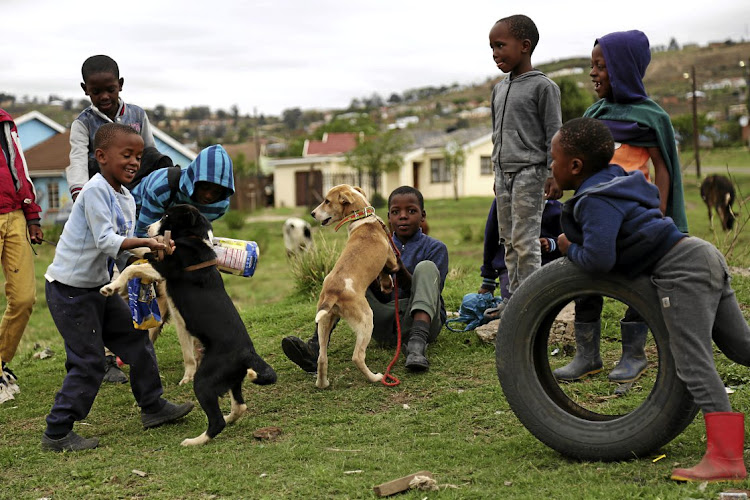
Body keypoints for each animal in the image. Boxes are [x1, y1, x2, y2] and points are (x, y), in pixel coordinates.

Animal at [100, 203, 276, 446]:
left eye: (166, 216)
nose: (147, 228)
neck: (195, 238)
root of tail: (248, 353)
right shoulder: (157, 257)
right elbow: (141, 250)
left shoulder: (164, 269)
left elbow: (131, 269)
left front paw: (110, 287)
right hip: (231, 379)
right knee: (240, 406)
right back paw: (228, 418)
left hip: (205, 380)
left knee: (216, 421)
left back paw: (195, 441)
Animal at [312, 186, 402, 388]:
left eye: (327, 201)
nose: (312, 214)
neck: (363, 218)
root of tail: (332, 291)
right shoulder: (391, 260)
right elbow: (388, 271)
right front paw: (388, 284)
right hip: (366, 319)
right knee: (357, 357)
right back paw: (375, 377)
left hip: (324, 322)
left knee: (321, 358)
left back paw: (322, 384)